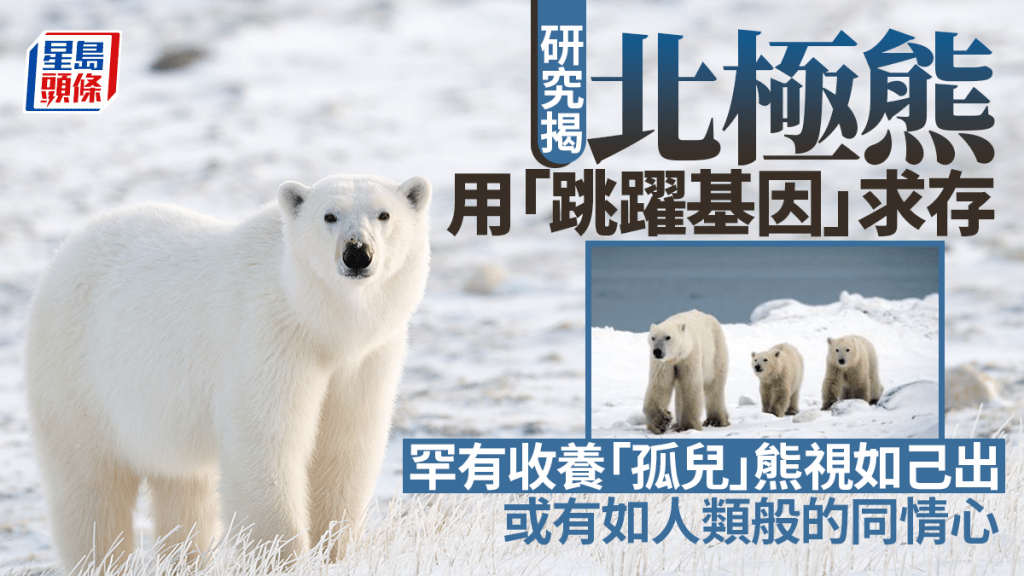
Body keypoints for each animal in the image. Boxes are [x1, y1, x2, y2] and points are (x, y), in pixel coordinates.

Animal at [24, 174, 432, 572]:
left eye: (384, 214)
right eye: (329, 215)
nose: (357, 253)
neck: (319, 323)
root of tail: (67, 248)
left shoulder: (365, 359)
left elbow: (345, 446)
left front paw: (333, 553)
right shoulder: (267, 338)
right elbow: (266, 444)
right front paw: (282, 558)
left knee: (184, 488)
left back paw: (187, 560)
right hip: (78, 378)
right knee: (90, 486)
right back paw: (101, 560)